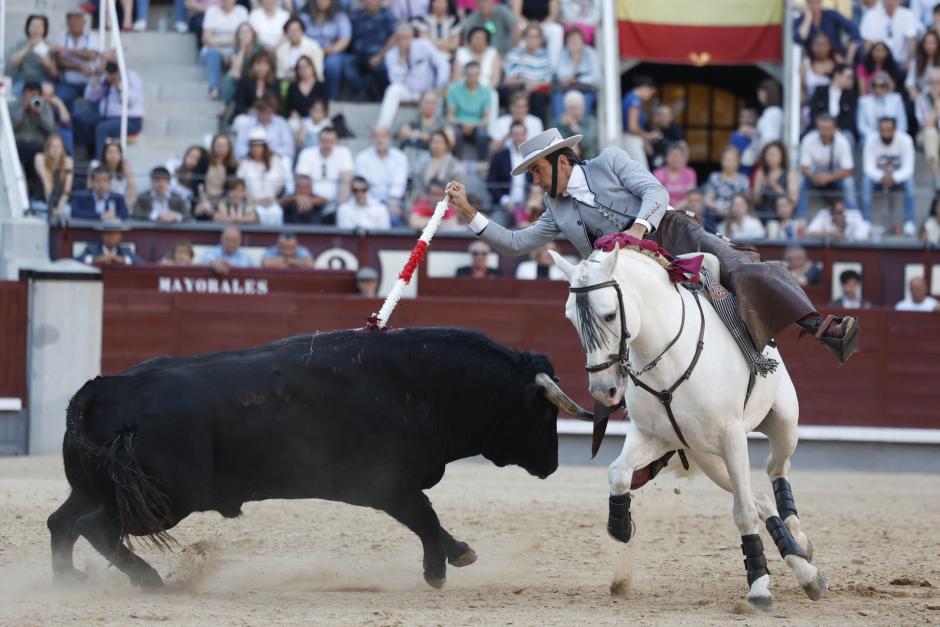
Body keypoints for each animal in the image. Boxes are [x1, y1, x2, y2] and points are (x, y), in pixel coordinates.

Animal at [49, 328, 588, 588]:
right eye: (545, 412)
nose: (552, 464)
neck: (421, 384)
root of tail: (103, 391)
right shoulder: (387, 484)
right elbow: (425, 518)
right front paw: (439, 569)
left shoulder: (393, 486)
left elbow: (429, 520)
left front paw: (455, 555)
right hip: (164, 498)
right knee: (95, 527)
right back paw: (151, 581)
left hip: (96, 487)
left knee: (63, 522)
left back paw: (68, 580)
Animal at [552, 242, 828, 612]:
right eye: (570, 318)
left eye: (610, 314)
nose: (602, 390)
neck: (663, 355)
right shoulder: (651, 434)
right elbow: (618, 472)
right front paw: (621, 527)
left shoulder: (732, 437)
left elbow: (742, 513)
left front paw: (758, 586)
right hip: (709, 458)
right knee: (758, 497)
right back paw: (806, 571)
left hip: (783, 420)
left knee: (776, 469)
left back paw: (799, 539)